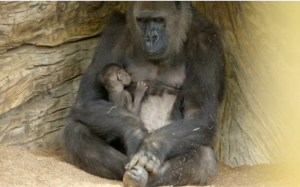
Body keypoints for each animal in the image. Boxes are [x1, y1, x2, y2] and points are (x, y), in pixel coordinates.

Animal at [63, 1, 224, 187]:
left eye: (159, 20)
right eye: (143, 21)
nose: (151, 38)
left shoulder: (207, 42)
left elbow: (198, 112)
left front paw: (152, 148)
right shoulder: (115, 32)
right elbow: (88, 99)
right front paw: (136, 134)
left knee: (204, 158)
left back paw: (143, 178)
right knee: (75, 131)